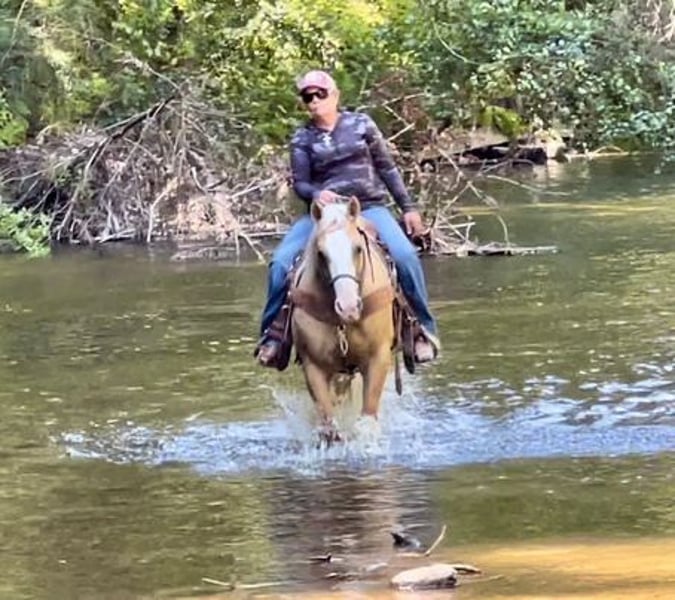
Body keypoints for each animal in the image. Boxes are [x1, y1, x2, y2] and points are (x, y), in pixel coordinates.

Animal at [290, 197, 397, 442]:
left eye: (358, 249)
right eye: (321, 253)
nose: (348, 308)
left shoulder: (378, 357)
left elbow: (366, 424)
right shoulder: (313, 366)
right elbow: (329, 430)